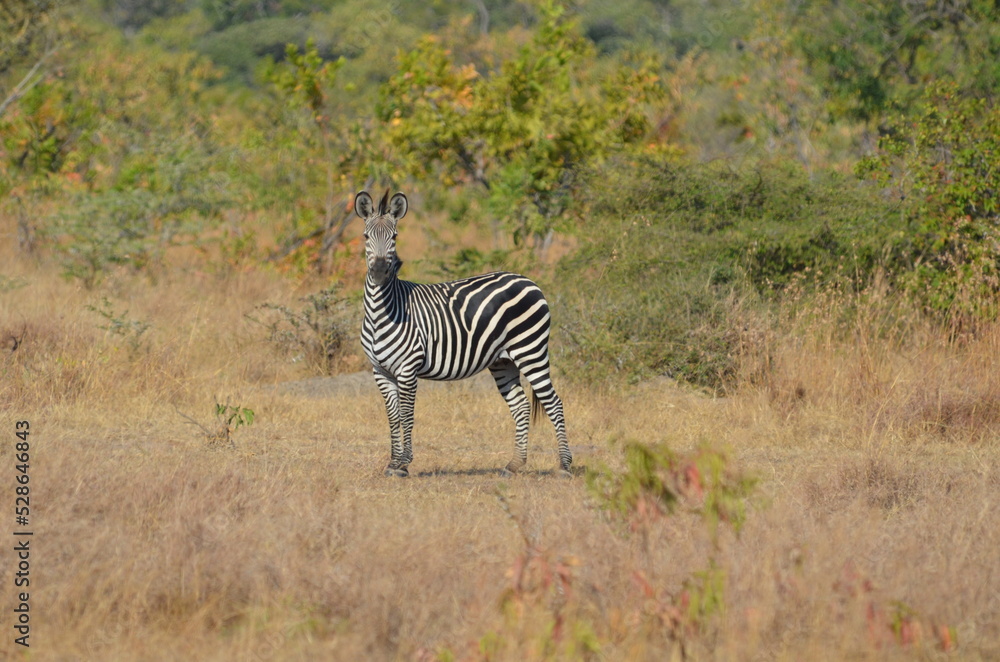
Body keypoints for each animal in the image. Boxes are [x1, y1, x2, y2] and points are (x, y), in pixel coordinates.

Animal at [355, 189, 572, 478]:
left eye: (394, 237)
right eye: (366, 236)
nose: (379, 272)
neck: (382, 312)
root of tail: (528, 280)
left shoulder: (408, 368)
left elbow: (406, 415)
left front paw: (403, 464)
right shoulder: (380, 371)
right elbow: (393, 417)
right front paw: (392, 463)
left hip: (531, 351)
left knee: (554, 404)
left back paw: (565, 466)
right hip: (503, 361)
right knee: (522, 406)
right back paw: (513, 465)